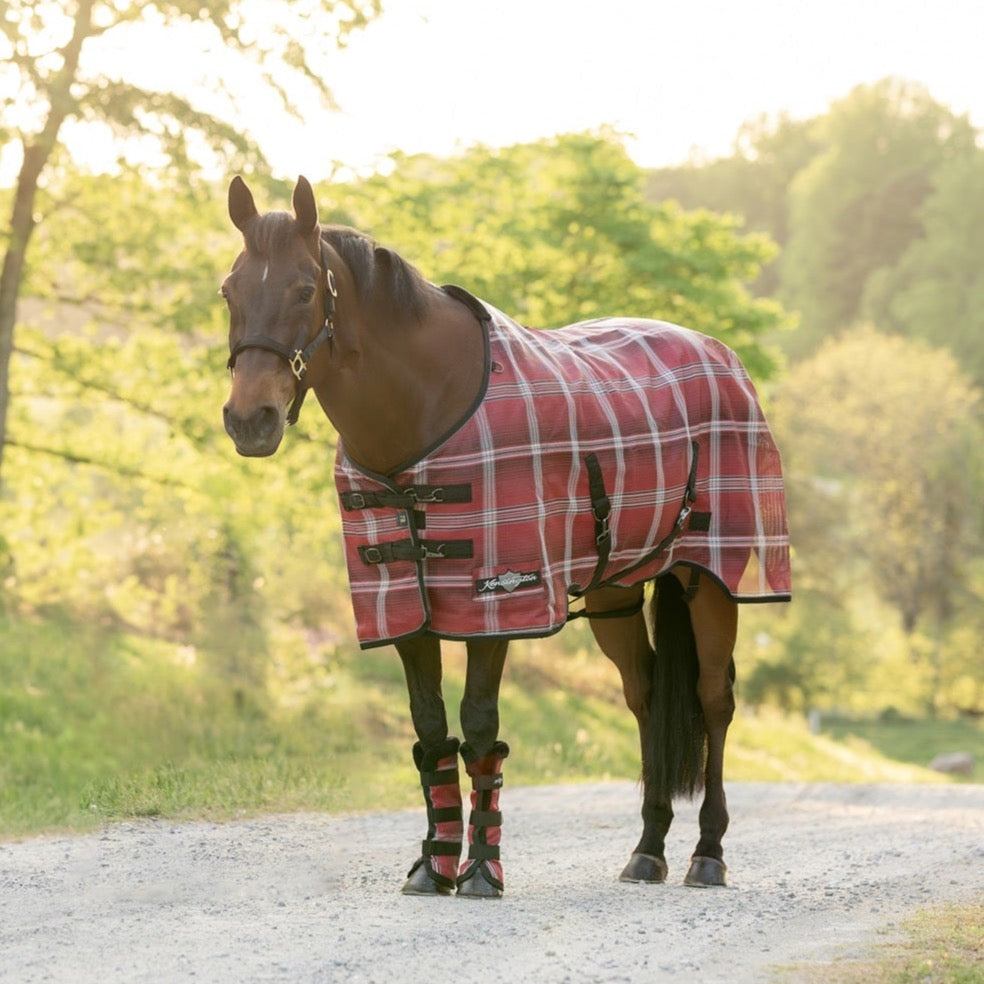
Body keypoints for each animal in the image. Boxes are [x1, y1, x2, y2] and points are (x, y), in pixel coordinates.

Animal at [220, 175, 791, 899]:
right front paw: (433, 866)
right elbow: (431, 728)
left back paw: (707, 854)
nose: (250, 420)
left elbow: (479, 726)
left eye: (302, 289)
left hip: (708, 577)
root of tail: (720, 355)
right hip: (614, 592)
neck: (425, 405)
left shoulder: (495, 601)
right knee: (644, 696)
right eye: (229, 289)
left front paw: (481, 871)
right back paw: (647, 849)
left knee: (715, 699)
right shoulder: (403, 601)